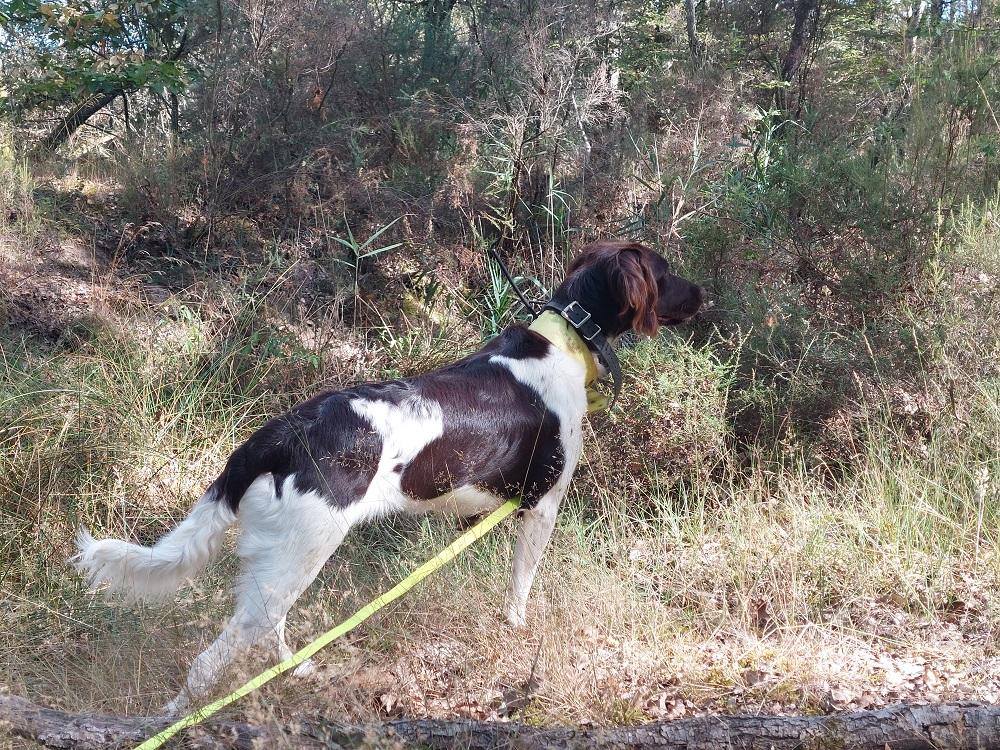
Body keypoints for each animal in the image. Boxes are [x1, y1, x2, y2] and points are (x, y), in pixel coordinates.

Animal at [72, 242, 704, 716]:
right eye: (667, 273)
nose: (705, 296)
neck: (565, 341)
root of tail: (277, 436)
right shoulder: (541, 505)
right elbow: (520, 592)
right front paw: (519, 633)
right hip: (301, 551)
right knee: (213, 659)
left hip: (280, 561)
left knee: (270, 627)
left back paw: (301, 670)